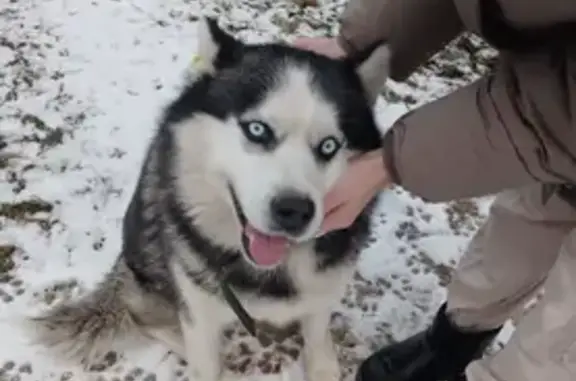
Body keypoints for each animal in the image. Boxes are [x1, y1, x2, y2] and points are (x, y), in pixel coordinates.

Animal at [25, 17, 388, 380]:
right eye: (257, 130)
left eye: (329, 146)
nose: (294, 210)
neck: (267, 274)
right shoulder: (198, 308)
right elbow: (202, 351)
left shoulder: (322, 294)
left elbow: (318, 337)